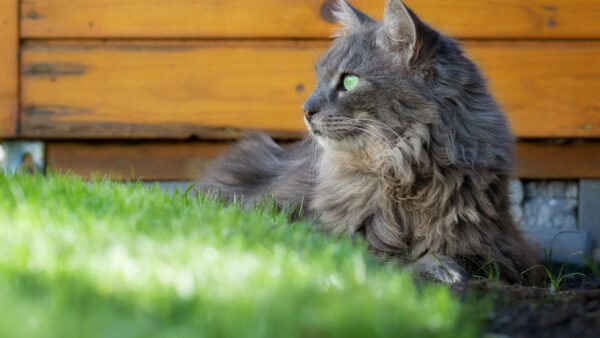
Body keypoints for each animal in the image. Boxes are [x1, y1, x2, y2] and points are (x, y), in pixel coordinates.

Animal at [202, 0, 540, 286]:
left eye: (349, 81)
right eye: (318, 78)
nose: (305, 109)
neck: (405, 173)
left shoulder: (501, 251)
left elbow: (466, 258)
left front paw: (443, 266)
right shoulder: (317, 234)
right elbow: (384, 258)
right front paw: (437, 268)